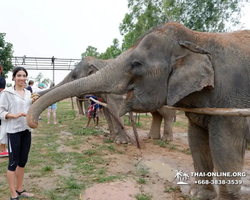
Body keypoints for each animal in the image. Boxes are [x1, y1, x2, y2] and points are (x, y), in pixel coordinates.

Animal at [39, 55, 176, 142]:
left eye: (74, 76)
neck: (100, 61)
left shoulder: (116, 90)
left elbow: (116, 110)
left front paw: (122, 142)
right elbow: (108, 112)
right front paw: (112, 139)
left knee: (166, 115)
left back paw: (166, 139)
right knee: (156, 115)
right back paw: (152, 137)